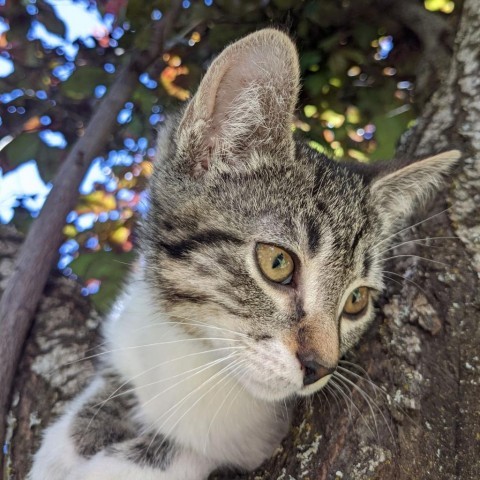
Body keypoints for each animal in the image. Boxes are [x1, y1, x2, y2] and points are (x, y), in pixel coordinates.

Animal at [28, 29, 460, 480]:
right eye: (277, 263)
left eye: (357, 300)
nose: (320, 368)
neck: (194, 349)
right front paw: (70, 443)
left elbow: (189, 446)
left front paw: (122, 462)